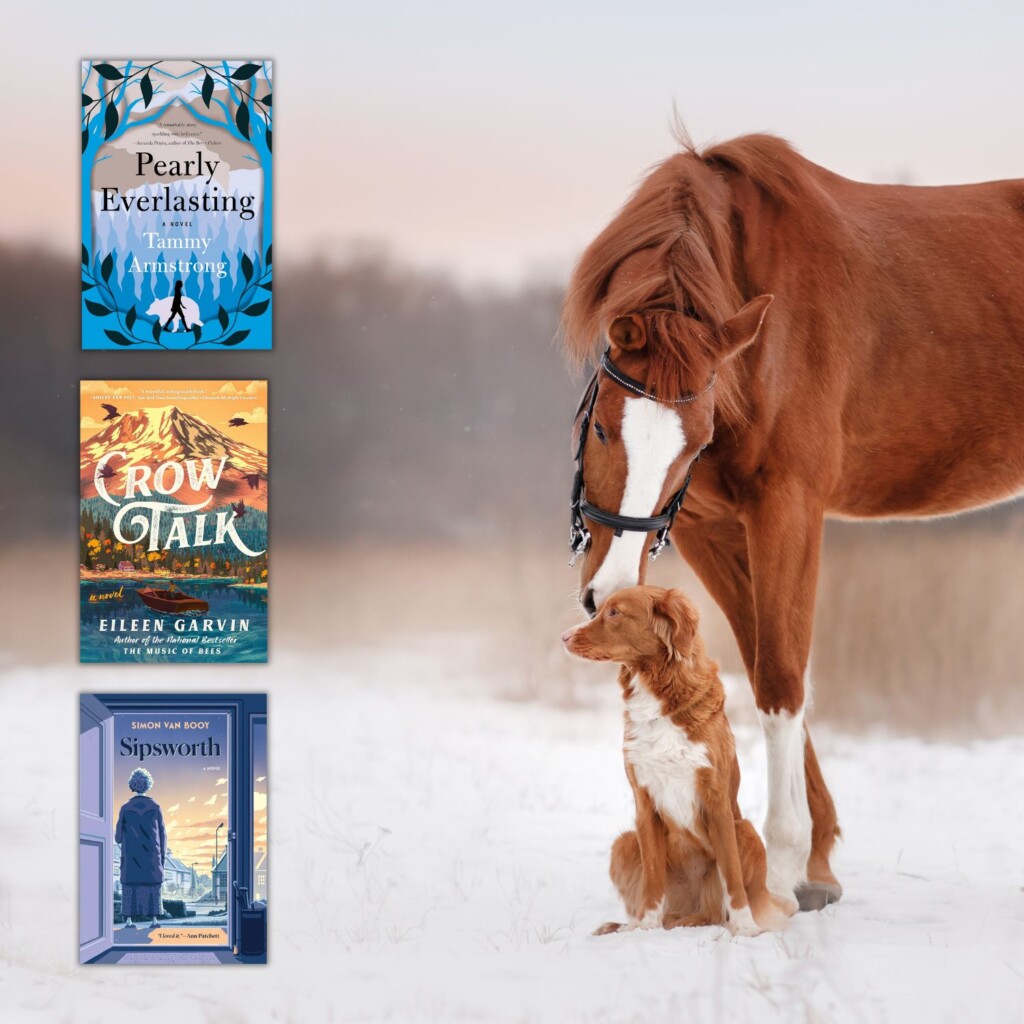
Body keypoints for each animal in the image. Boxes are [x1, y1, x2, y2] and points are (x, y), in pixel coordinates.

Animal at [565, 585, 794, 937]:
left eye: (615, 613)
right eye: (601, 609)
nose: (564, 636)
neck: (657, 691)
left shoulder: (716, 801)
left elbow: (732, 875)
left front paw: (745, 928)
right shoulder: (644, 802)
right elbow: (653, 877)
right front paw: (645, 927)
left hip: (745, 831)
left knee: (716, 911)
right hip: (624, 843)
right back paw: (629, 924)